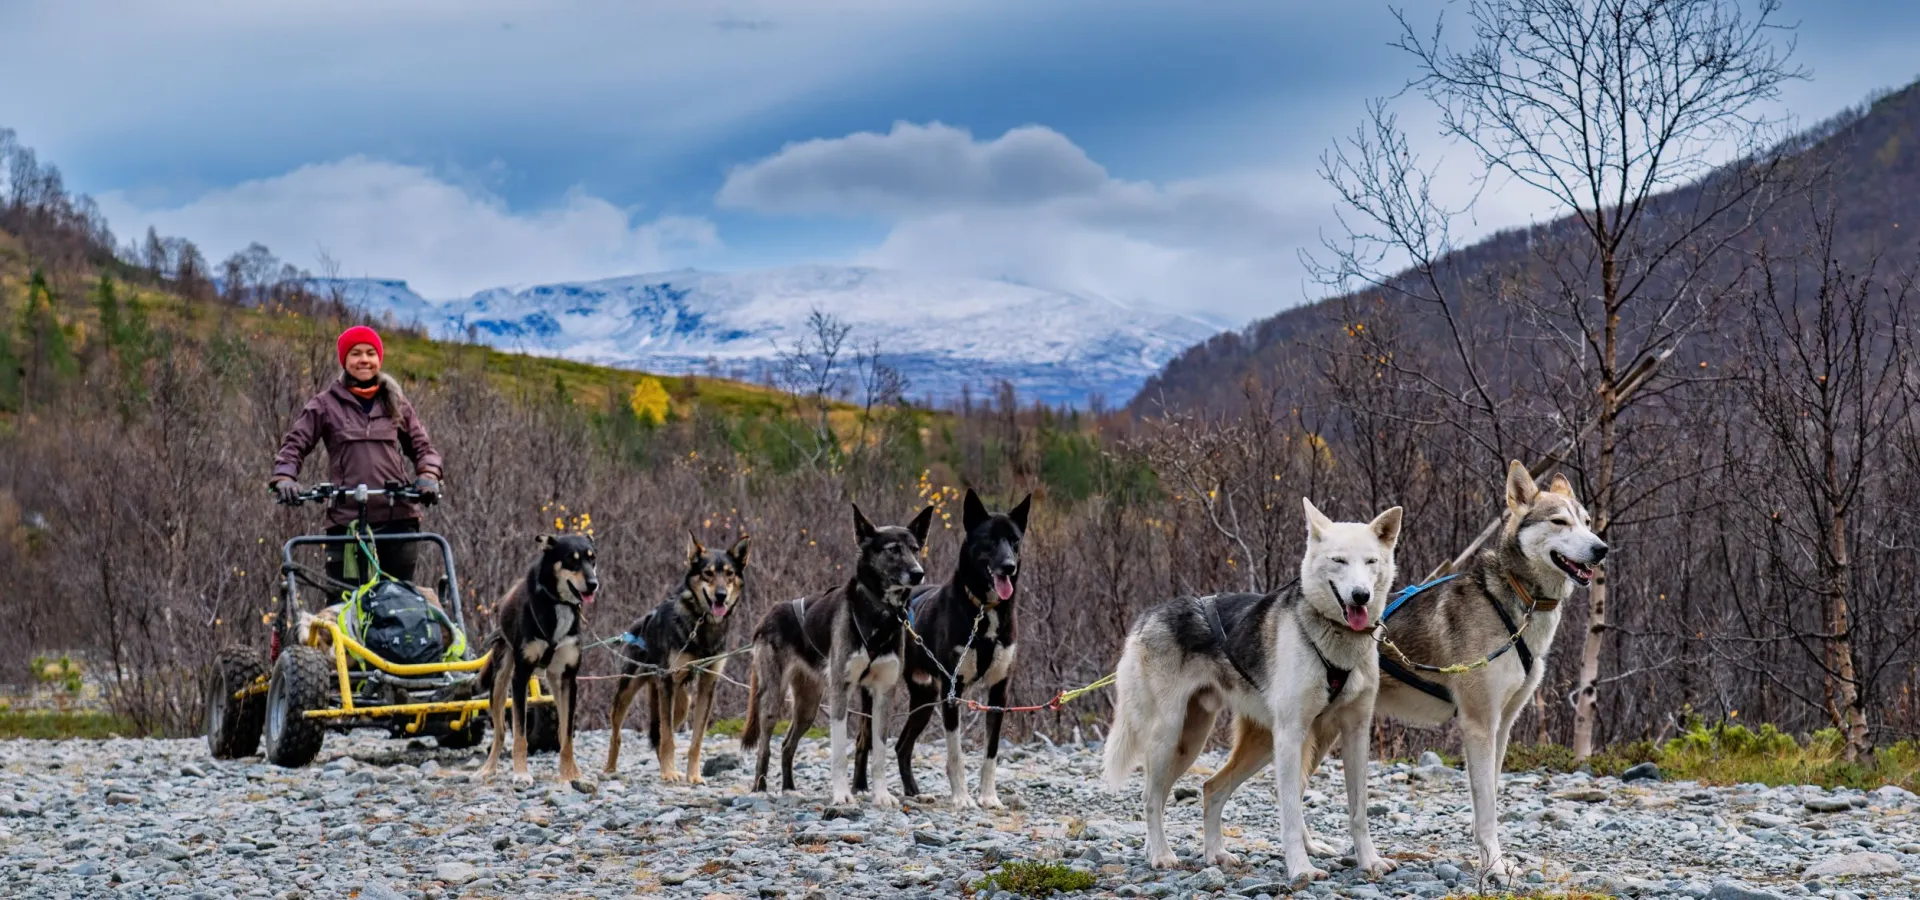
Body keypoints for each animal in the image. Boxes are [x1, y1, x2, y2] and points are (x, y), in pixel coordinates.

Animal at [606, 533, 748, 779]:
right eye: (708, 573)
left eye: (729, 574)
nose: (721, 596)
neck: (702, 625)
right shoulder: (667, 683)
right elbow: (669, 738)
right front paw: (669, 774)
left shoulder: (708, 684)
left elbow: (695, 740)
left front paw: (693, 776)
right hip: (630, 690)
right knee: (618, 731)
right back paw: (610, 769)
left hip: (681, 703)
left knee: (661, 732)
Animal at [741, 502, 936, 802]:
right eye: (893, 549)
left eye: (915, 548)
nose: (918, 573)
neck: (878, 614)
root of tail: (768, 614)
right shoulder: (841, 691)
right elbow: (840, 752)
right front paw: (843, 794)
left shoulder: (883, 693)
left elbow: (879, 751)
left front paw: (881, 795)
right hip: (773, 699)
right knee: (765, 745)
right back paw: (760, 789)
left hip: (808, 706)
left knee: (787, 745)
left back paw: (789, 788)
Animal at [887, 487, 1029, 809]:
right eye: (989, 540)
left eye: (1014, 540)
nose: (1009, 566)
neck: (983, 609)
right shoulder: (952, 691)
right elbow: (956, 754)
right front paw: (962, 797)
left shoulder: (999, 693)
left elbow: (991, 752)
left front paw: (988, 797)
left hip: (924, 698)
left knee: (902, 746)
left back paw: (914, 792)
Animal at [1105, 502, 1405, 878]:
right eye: (1338, 560)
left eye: (1371, 561)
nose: (1360, 595)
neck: (1336, 640)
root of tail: (1147, 616)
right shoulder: (1291, 735)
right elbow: (1290, 813)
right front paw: (1300, 869)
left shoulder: (1355, 733)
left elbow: (1359, 811)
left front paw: (1369, 861)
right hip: (1170, 736)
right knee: (1150, 798)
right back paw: (1161, 854)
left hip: (1219, 744)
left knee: (1206, 789)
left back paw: (1213, 853)